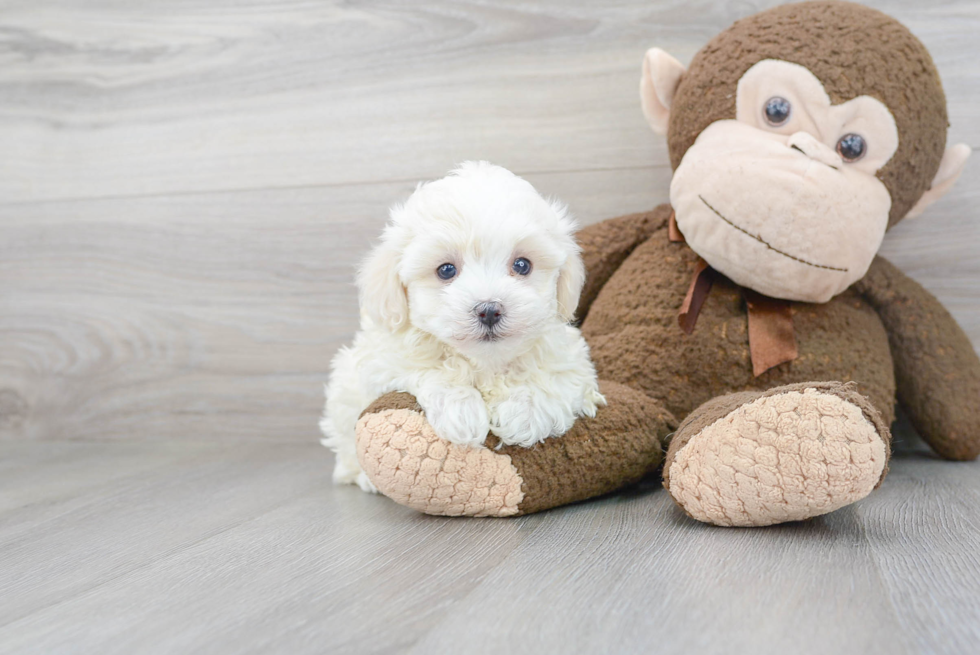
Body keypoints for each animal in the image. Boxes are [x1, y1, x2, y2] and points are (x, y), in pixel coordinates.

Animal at [322, 163, 604, 492]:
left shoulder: (572, 360)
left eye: (522, 265)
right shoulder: (383, 360)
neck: (486, 361)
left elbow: (555, 376)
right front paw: (461, 412)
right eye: (446, 270)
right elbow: (430, 368)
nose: (489, 310)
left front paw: (525, 410)